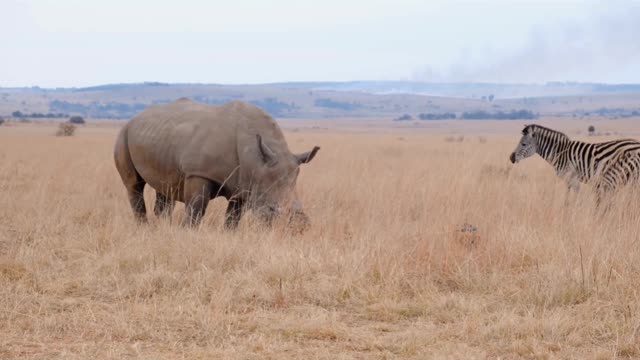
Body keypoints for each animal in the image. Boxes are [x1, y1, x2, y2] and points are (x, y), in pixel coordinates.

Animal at [512, 124, 640, 202]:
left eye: (523, 144)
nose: (511, 158)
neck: (560, 152)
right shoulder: (570, 177)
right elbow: (569, 193)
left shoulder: (571, 176)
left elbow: (576, 194)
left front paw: (574, 208)